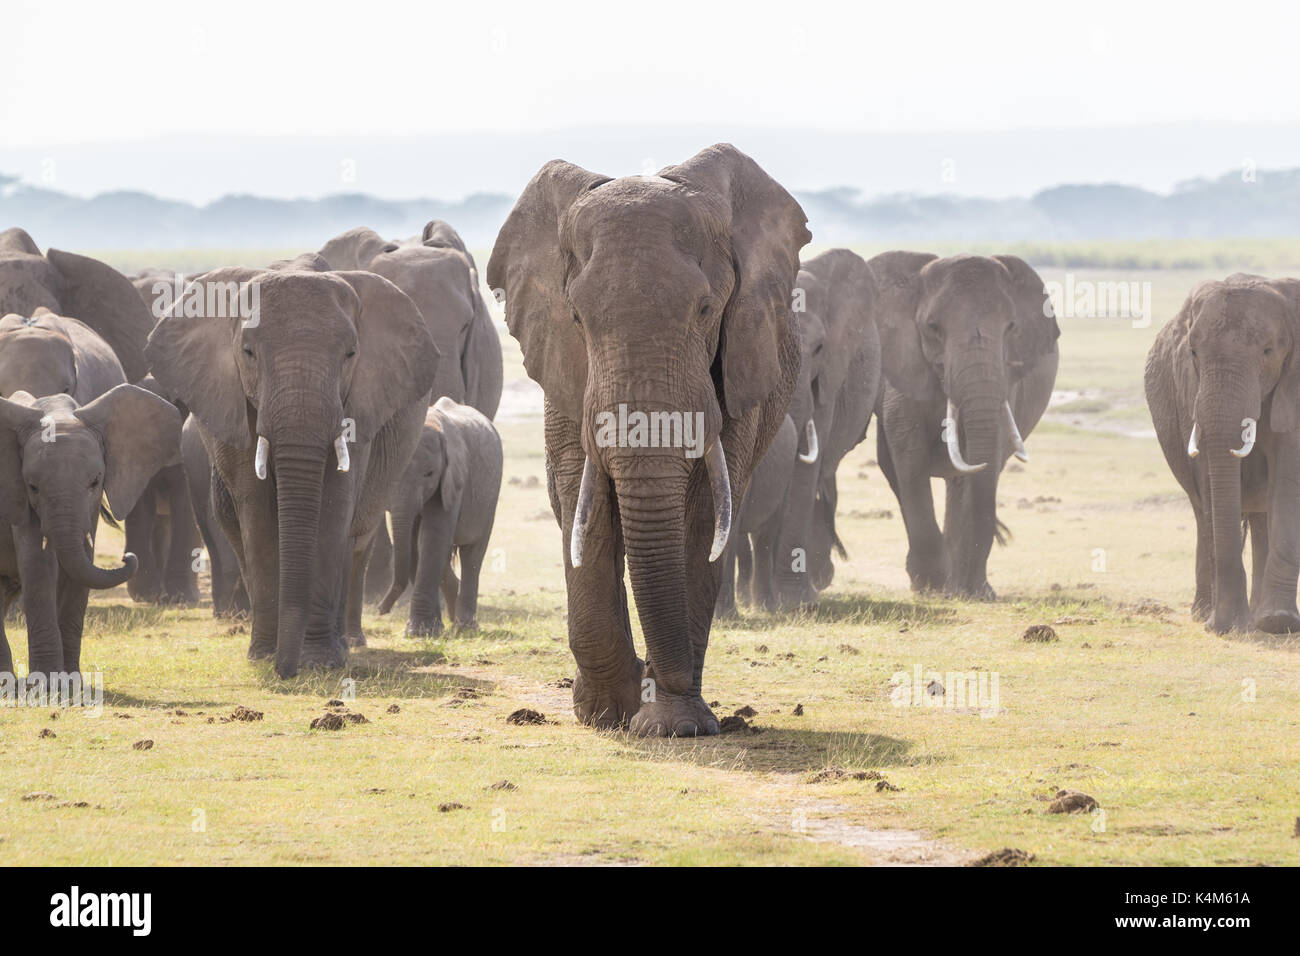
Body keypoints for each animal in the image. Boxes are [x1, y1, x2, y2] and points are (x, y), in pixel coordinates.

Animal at [0, 385, 181, 678]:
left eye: (95, 482)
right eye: (32, 487)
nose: (127, 556)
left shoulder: (91, 507)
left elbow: (81, 564)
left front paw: (71, 681)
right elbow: (38, 564)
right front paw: (47, 683)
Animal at [377, 397, 502, 635]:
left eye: (430, 473)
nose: (381, 610)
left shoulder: (452, 480)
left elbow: (431, 537)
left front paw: (420, 633)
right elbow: (414, 543)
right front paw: (425, 631)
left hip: (490, 498)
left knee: (473, 553)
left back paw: (466, 627)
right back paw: (453, 617)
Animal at [871, 252, 1059, 599]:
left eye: (1011, 327)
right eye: (933, 327)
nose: (979, 590)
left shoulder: (1007, 375)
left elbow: (988, 453)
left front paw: (974, 592)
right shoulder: (903, 364)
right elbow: (909, 452)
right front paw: (929, 585)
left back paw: (959, 587)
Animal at [1145, 274, 1300, 634]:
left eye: (1268, 351)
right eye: (1193, 352)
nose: (1222, 626)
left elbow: (1287, 479)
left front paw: (1278, 623)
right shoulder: (1189, 391)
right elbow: (1208, 476)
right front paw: (1225, 625)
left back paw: (1259, 615)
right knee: (1202, 509)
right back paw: (1205, 612)